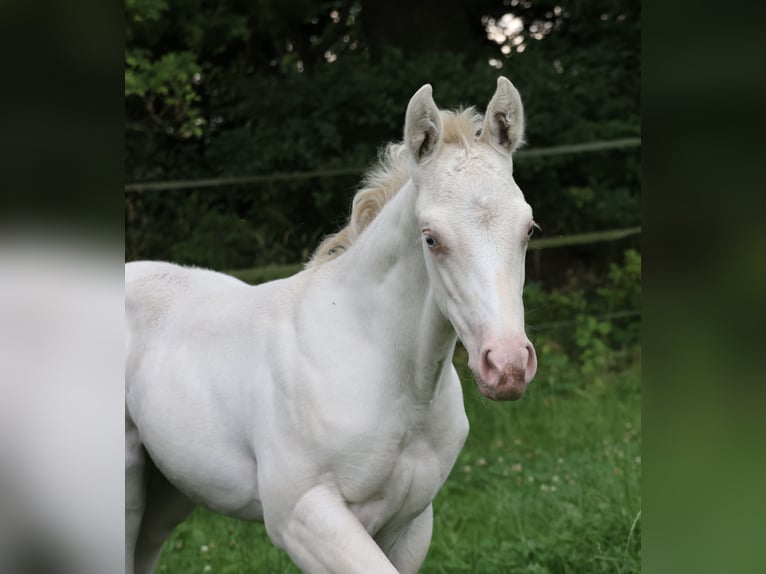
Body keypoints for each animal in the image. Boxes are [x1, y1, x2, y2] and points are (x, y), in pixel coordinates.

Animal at [125, 77, 538, 574]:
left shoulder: (410, 525)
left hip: (167, 493)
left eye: (528, 228)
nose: (508, 365)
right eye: (430, 237)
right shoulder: (303, 516)